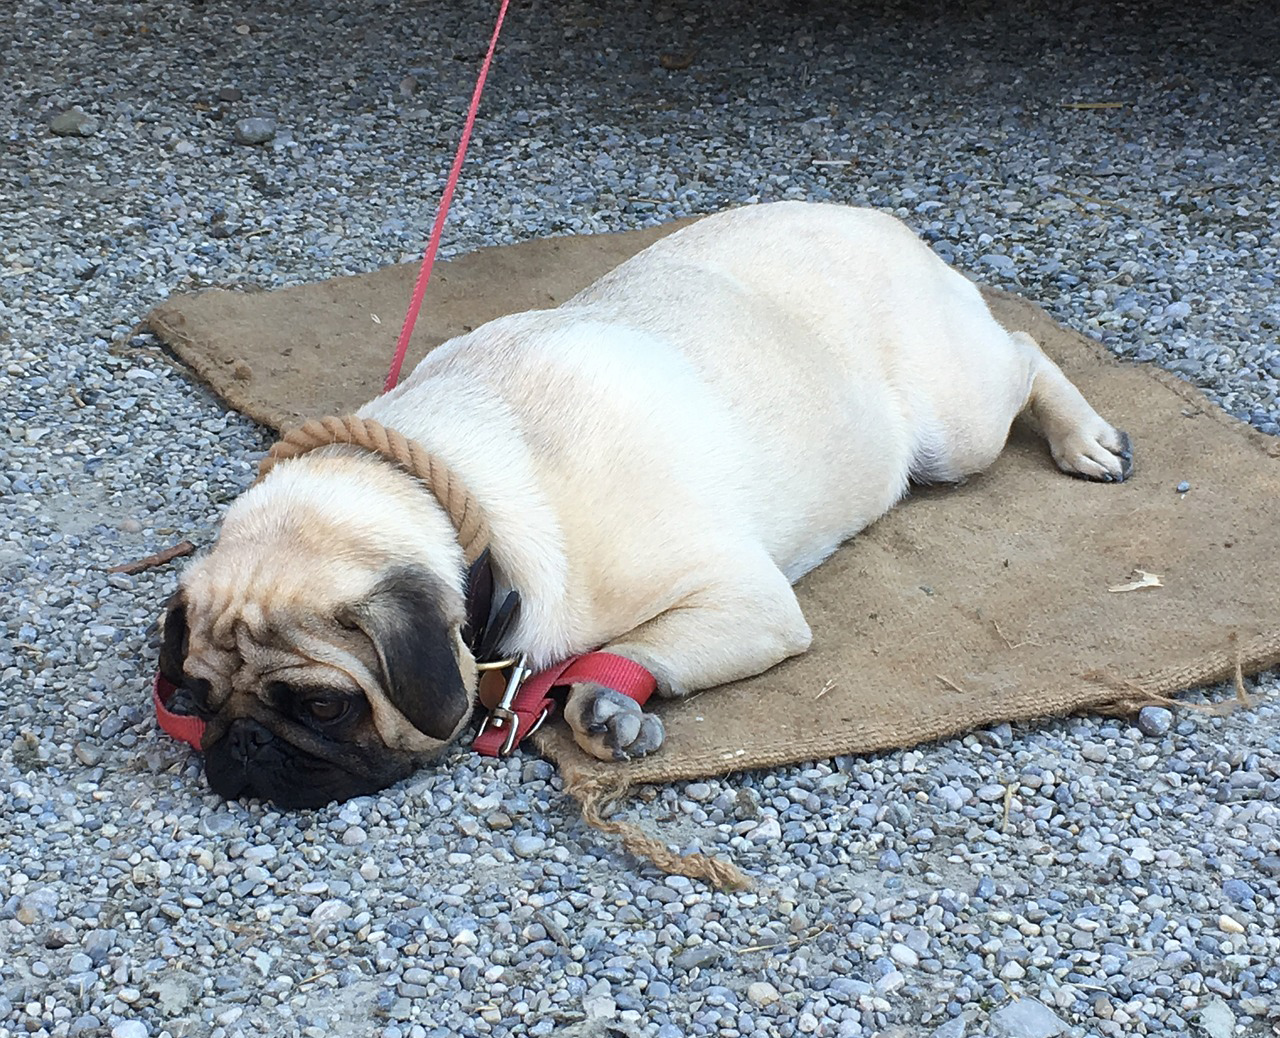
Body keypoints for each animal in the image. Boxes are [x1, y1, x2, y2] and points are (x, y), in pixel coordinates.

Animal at [157, 198, 1131, 808]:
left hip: (956, 433)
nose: (243, 744)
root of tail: (880, 221)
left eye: (324, 706)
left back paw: (1085, 438)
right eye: (195, 698)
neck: (465, 500)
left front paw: (601, 697)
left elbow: (632, 649)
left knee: (1025, 348)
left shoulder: (747, 600)